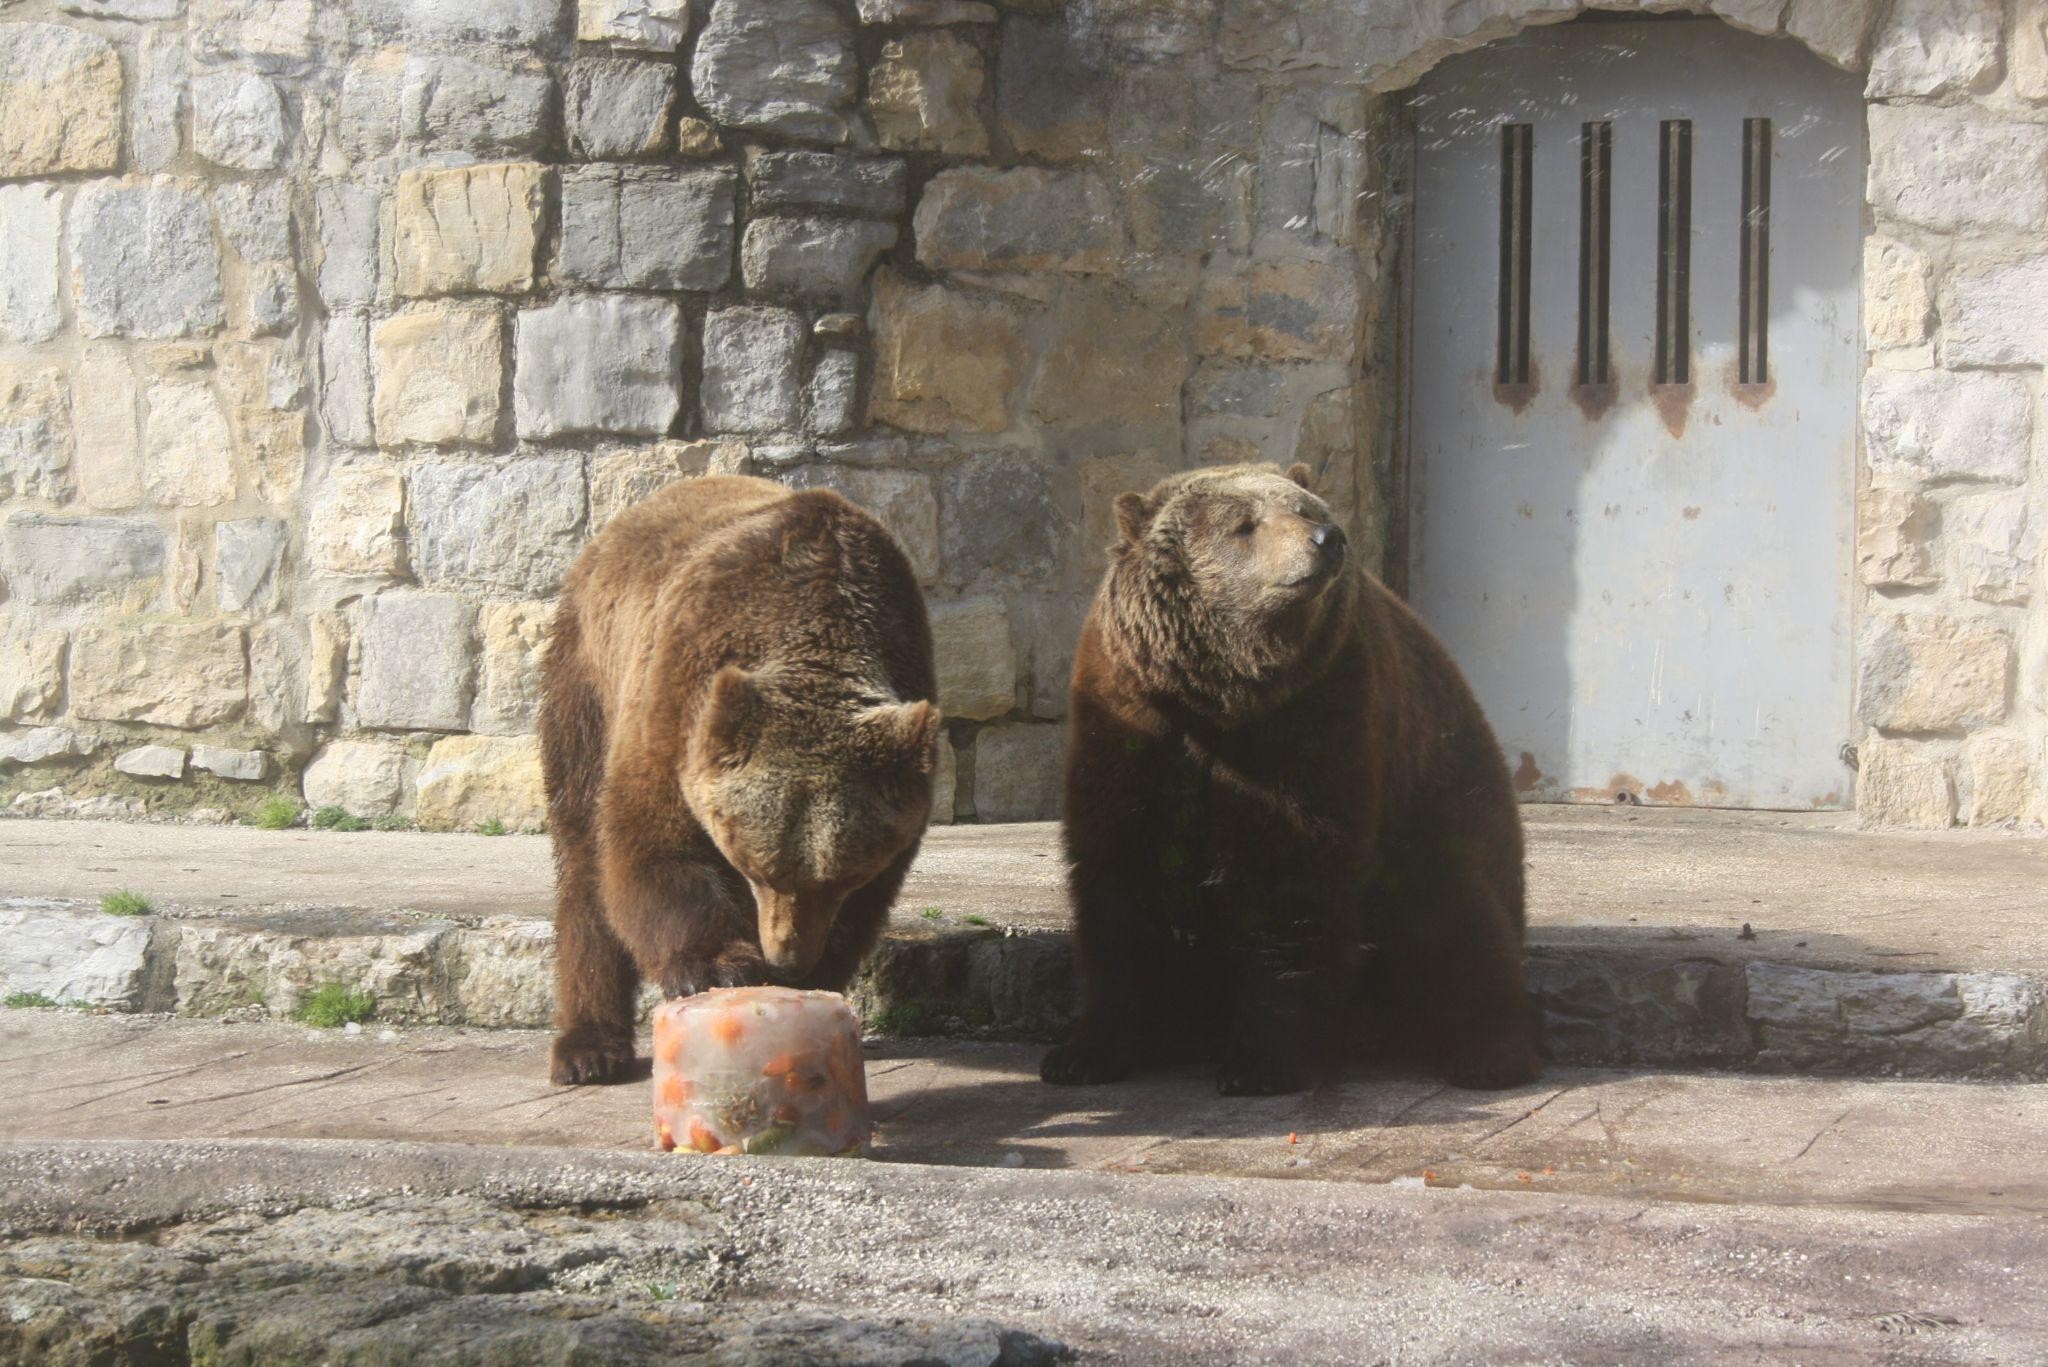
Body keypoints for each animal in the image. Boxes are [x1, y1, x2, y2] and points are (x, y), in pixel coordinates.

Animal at [536, 475, 937, 1082]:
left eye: (841, 878)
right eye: (759, 870)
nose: (788, 957)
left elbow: (868, 904)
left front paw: (810, 977)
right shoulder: (678, 694)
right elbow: (653, 845)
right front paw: (719, 967)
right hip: (588, 672)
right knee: (584, 849)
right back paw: (588, 1049)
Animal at [1040, 465, 1540, 1098]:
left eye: (1303, 507)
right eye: (1244, 524)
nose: (1327, 538)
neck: (1220, 694)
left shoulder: (1311, 715)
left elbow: (1285, 875)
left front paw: (1261, 1061)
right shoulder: (1133, 715)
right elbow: (1120, 873)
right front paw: (1085, 1052)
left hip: (1438, 800)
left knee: (1459, 921)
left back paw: (1488, 1054)